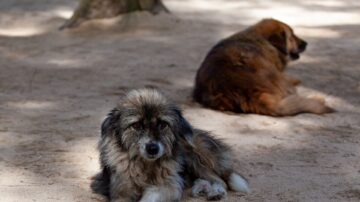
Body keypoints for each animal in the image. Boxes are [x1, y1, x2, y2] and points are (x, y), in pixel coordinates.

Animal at [91, 89, 249, 201]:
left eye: (163, 124)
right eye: (136, 125)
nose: (152, 149)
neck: (146, 165)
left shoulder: (168, 186)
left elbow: (151, 196)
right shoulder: (120, 191)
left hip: (195, 156)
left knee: (219, 180)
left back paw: (215, 192)